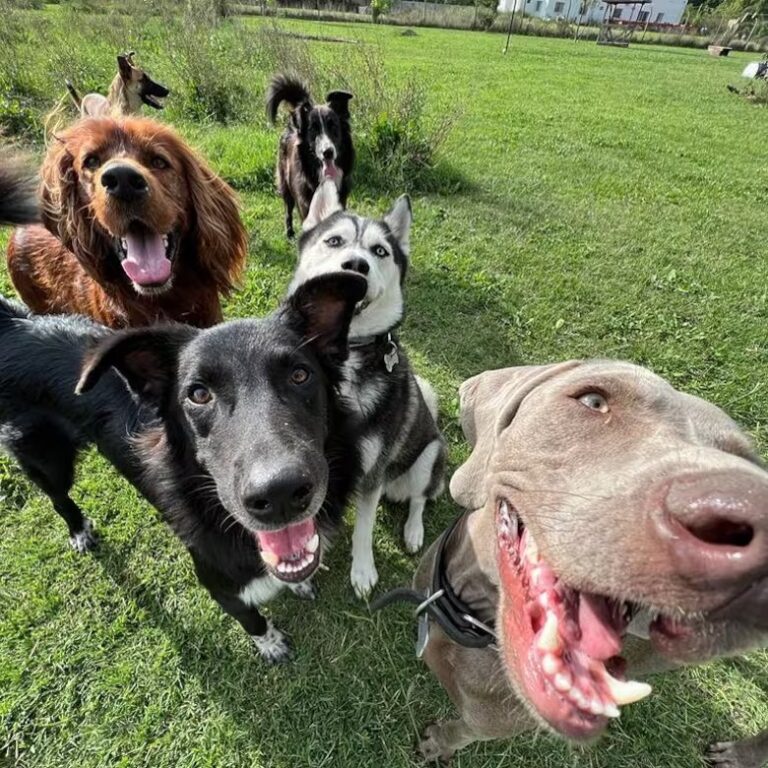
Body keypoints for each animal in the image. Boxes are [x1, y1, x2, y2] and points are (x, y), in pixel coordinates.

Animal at [0, 272, 368, 664]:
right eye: (198, 394)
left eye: (300, 375)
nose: (280, 493)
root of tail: (14, 324)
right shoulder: (216, 583)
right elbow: (251, 619)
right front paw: (270, 644)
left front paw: (298, 583)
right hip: (46, 458)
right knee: (58, 498)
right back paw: (79, 531)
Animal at [268, 75, 354, 238]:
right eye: (313, 129)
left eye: (333, 126)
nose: (328, 152)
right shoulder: (306, 204)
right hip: (285, 184)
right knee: (288, 209)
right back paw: (289, 232)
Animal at [286, 182, 444, 600]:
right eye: (334, 241)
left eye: (379, 251)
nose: (356, 265)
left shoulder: (372, 472)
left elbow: (364, 526)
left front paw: (362, 570)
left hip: (429, 458)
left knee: (420, 500)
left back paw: (414, 530)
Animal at [412, 362, 768, 768]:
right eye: (594, 401)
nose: (742, 515)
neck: (468, 614)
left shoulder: (485, 725)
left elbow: (459, 732)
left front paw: (437, 744)